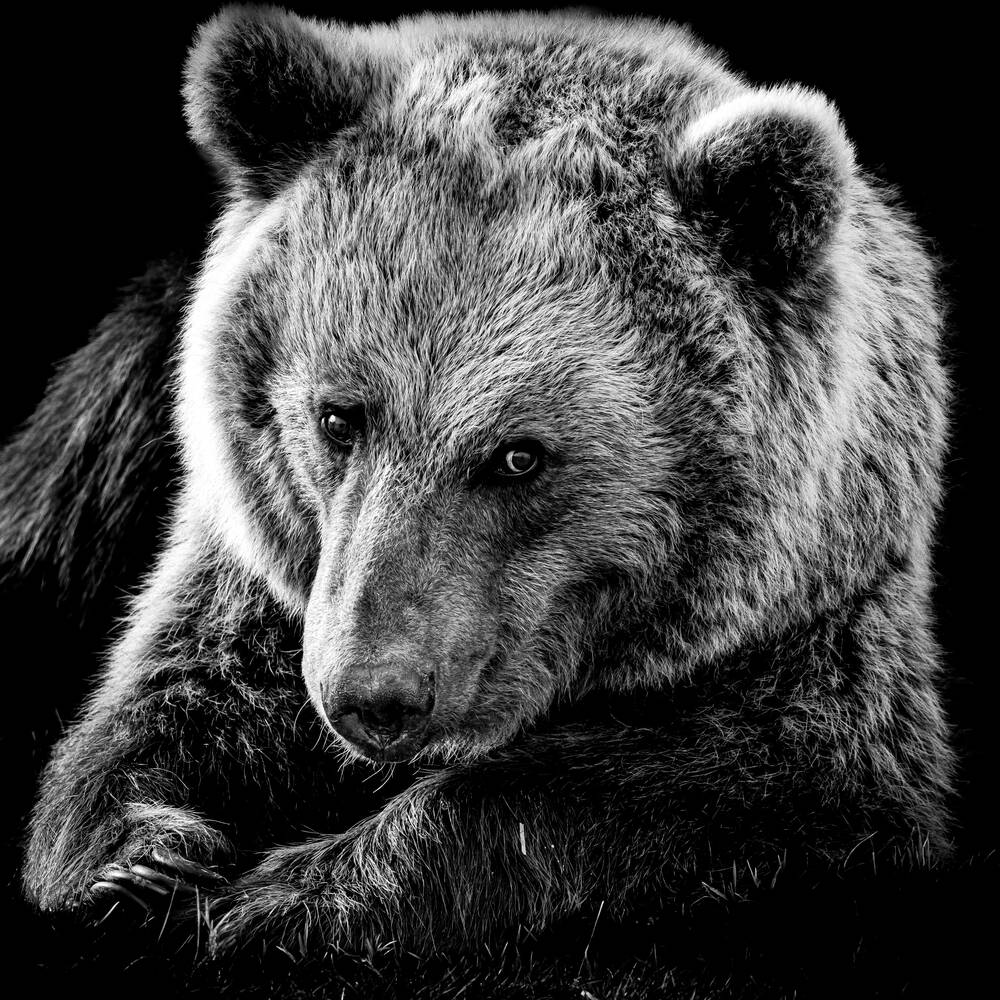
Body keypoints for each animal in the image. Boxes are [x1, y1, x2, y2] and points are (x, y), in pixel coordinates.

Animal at [7, 4, 954, 965]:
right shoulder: (257, 568)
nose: (374, 696)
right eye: (339, 416)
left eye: (518, 456)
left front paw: (285, 894)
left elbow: (727, 782)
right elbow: (175, 694)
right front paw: (143, 860)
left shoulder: (815, 631)